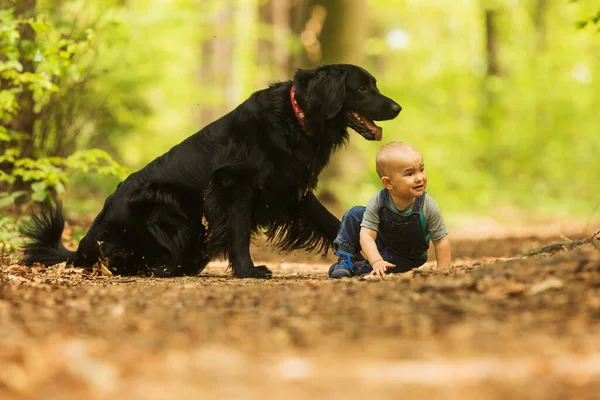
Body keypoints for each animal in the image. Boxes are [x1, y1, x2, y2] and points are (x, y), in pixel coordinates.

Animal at [21, 65, 400, 278]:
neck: (296, 118)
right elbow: (238, 231)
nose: (397, 107)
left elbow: (331, 222)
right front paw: (248, 271)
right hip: (168, 207)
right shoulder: (231, 186)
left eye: (375, 84)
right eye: (362, 88)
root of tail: (83, 246)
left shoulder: (293, 190)